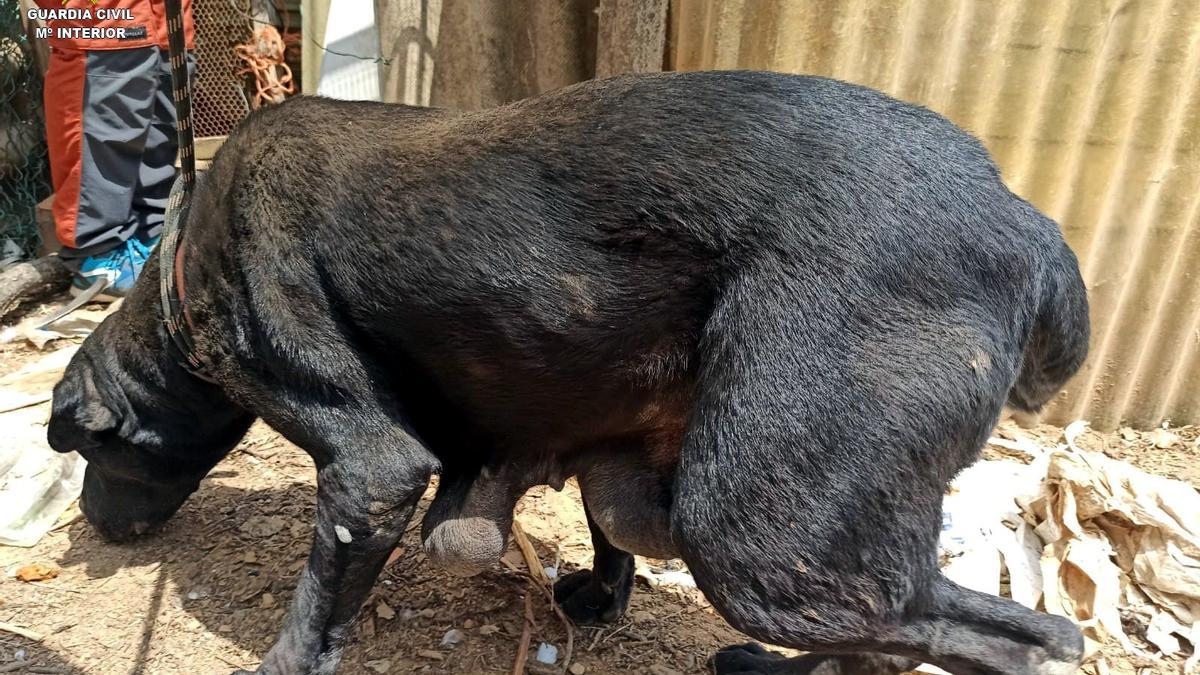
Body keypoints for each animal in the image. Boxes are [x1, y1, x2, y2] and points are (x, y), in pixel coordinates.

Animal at [46, 70, 1089, 667]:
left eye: (89, 454)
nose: (92, 526)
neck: (185, 270)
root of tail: (1027, 226)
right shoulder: (603, 433)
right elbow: (607, 523)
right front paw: (599, 595)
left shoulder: (371, 470)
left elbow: (318, 599)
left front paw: (289, 660)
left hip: (761, 540)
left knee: (1025, 641)